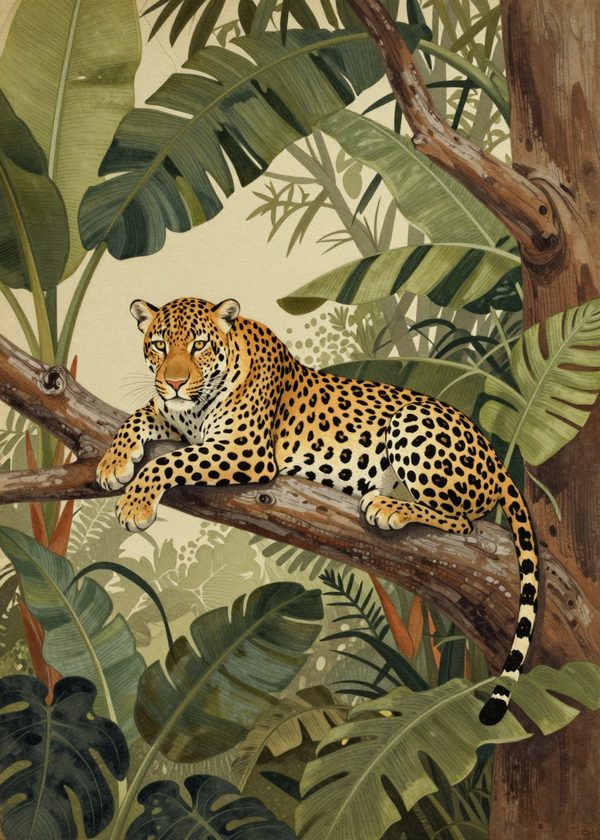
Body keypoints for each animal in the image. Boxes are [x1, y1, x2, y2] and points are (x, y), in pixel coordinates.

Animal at [97, 296, 539, 725]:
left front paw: (135, 504)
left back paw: (387, 505)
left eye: (199, 345)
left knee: (462, 519)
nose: (174, 382)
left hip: (413, 421)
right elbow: (141, 414)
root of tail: (495, 455)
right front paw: (112, 463)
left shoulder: (246, 449)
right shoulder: (174, 416)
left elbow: (169, 460)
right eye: (159, 345)